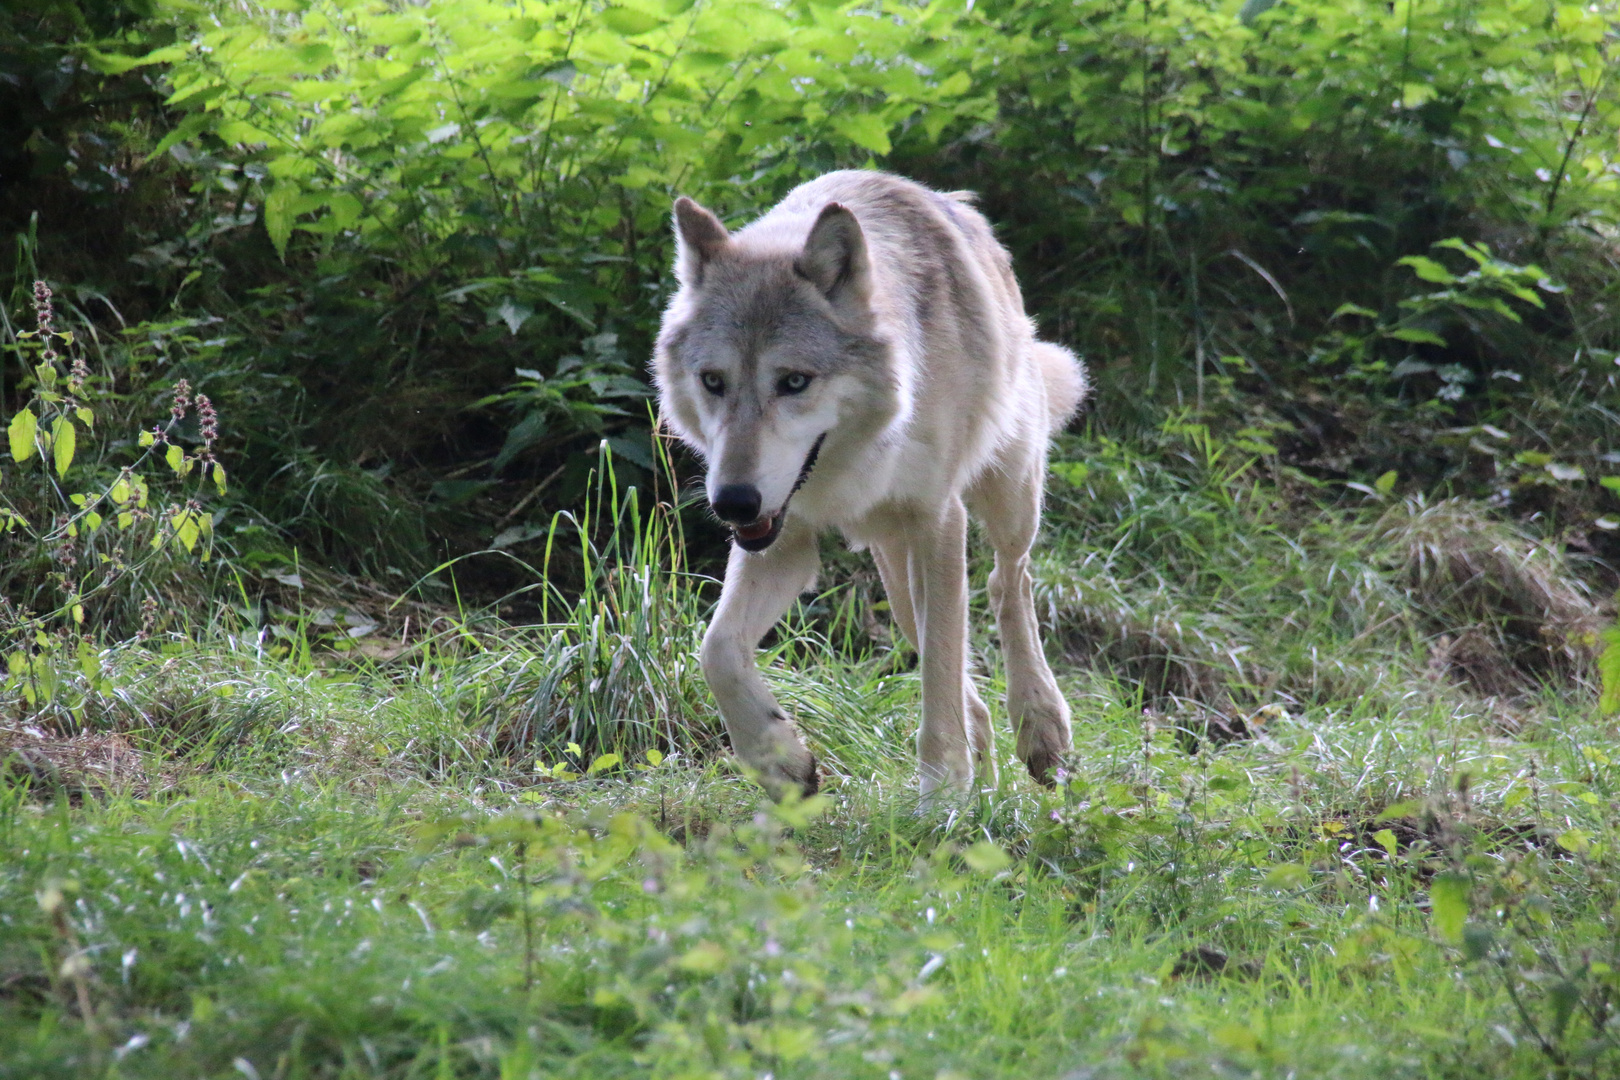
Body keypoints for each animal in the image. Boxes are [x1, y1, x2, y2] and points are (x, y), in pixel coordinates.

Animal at [654, 170, 1088, 803]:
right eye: (713, 381)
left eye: (794, 381)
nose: (731, 502)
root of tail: (956, 204)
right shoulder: (784, 539)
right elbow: (717, 650)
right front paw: (781, 761)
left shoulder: (939, 519)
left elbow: (939, 674)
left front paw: (942, 795)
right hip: (896, 571)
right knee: (960, 662)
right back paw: (987, 768)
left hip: (1007, 499)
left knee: (1009, 583)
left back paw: (1041, 728)